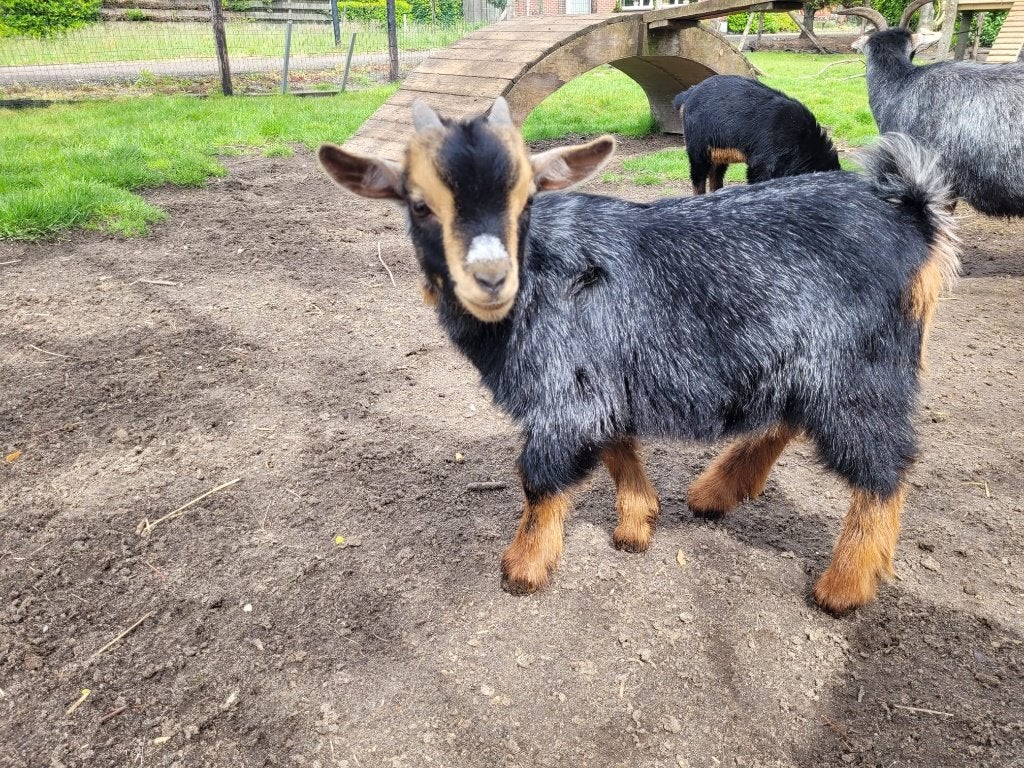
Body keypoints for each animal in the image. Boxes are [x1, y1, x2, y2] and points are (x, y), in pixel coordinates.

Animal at [317, 98, 958, 615]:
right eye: (418, 204)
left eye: (527, 199)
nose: (491, 278)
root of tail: (911, 212)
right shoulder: (598, 380)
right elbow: (616, 445)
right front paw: (637, 524)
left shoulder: (563, 394)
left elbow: (541, 478)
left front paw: (523, 567)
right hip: (803, 361)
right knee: (789, 419)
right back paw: (716, 492)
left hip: (859, 368)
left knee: (883, 466)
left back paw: (844, 586)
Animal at [672, 75, 840, 195]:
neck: (802, 140)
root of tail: (688, 94)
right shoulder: (763, 162)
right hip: (698, 148)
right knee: (698, 177)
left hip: (718, 150)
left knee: (715, 175)